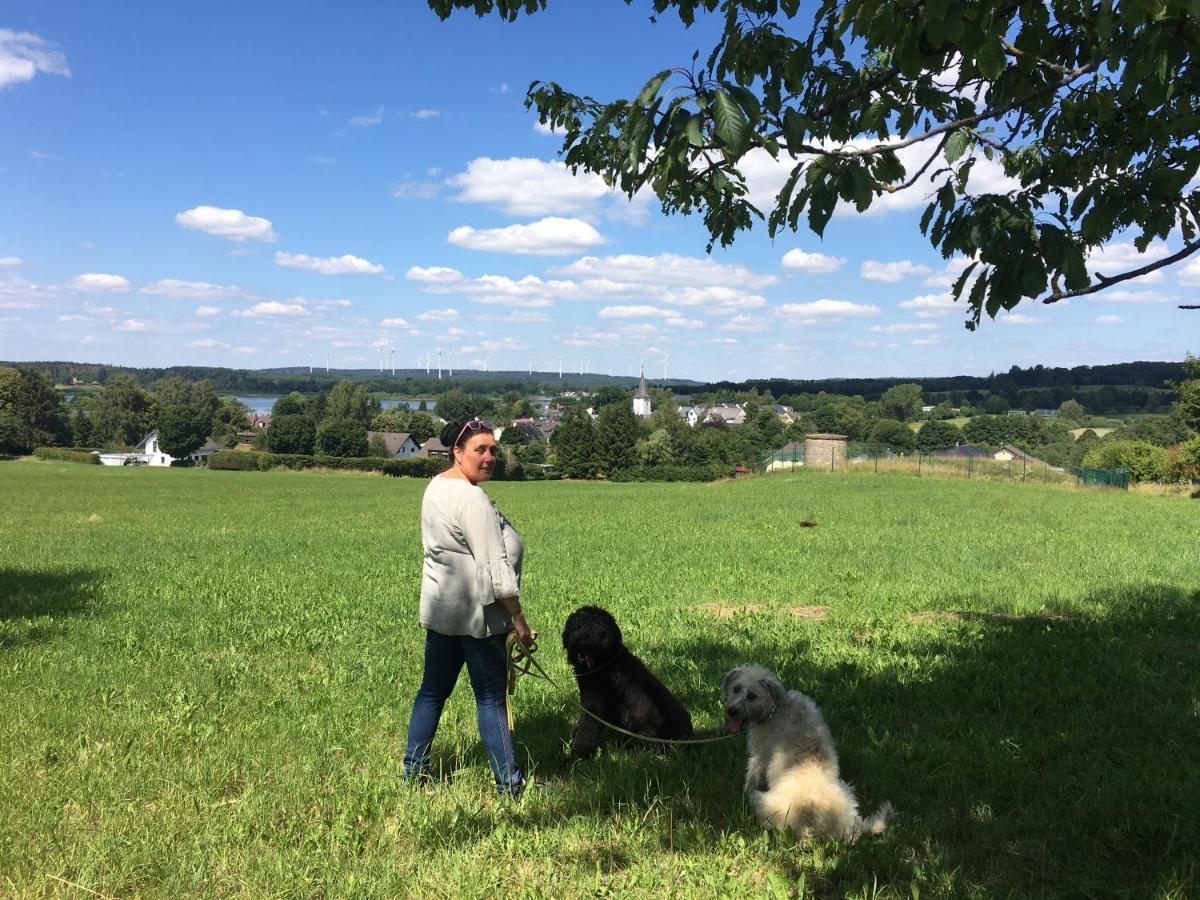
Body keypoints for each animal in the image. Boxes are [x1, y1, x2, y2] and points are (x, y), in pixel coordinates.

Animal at [561, 607, 696, 763]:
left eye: (598, 630)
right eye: (578, 625)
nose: (583, 642)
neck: (606, 664)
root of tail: (690, 736)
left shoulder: (593, 708)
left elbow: (586, 731)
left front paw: (575, 756)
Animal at [720, 662, 892, 844]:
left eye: (752, 696)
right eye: (736, 689)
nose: (731, 711)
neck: (774, 709)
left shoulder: (759, 756)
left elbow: (751, 777)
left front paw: (743, 791)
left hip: (763, 802)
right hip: (846, 789)